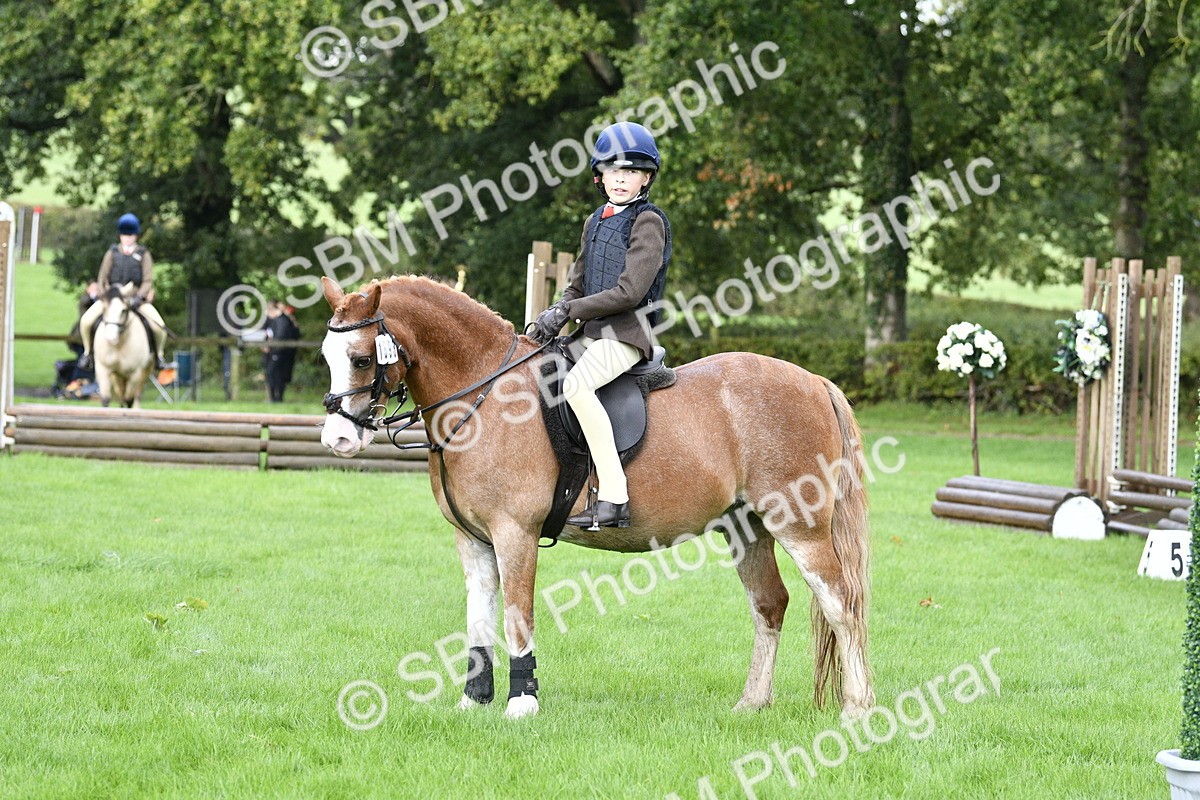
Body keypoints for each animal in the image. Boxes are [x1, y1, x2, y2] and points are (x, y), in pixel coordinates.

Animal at [319, 275, 873, 720]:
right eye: (327, 356)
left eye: (362, 359)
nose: (337, 439)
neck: (483, 396)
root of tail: (813, 380)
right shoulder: (474, 541)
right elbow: (478, 620)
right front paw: (472, 701)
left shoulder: (514, 534)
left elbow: (517, 616)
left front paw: (521, 704)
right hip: (748, 527)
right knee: (769, 605)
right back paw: (753, 703)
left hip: (799, 526)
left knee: (841, 604)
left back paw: (857, 708)